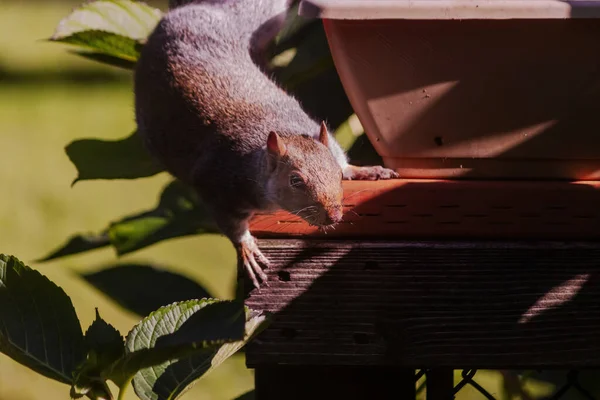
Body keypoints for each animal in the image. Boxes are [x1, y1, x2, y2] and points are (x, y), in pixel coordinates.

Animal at [134, 0, 400, 290]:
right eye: (296, 181)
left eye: (337, 175)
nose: (334, 217)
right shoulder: (217, 182)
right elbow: (232, 226)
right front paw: (246, 248)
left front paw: (363, 170)